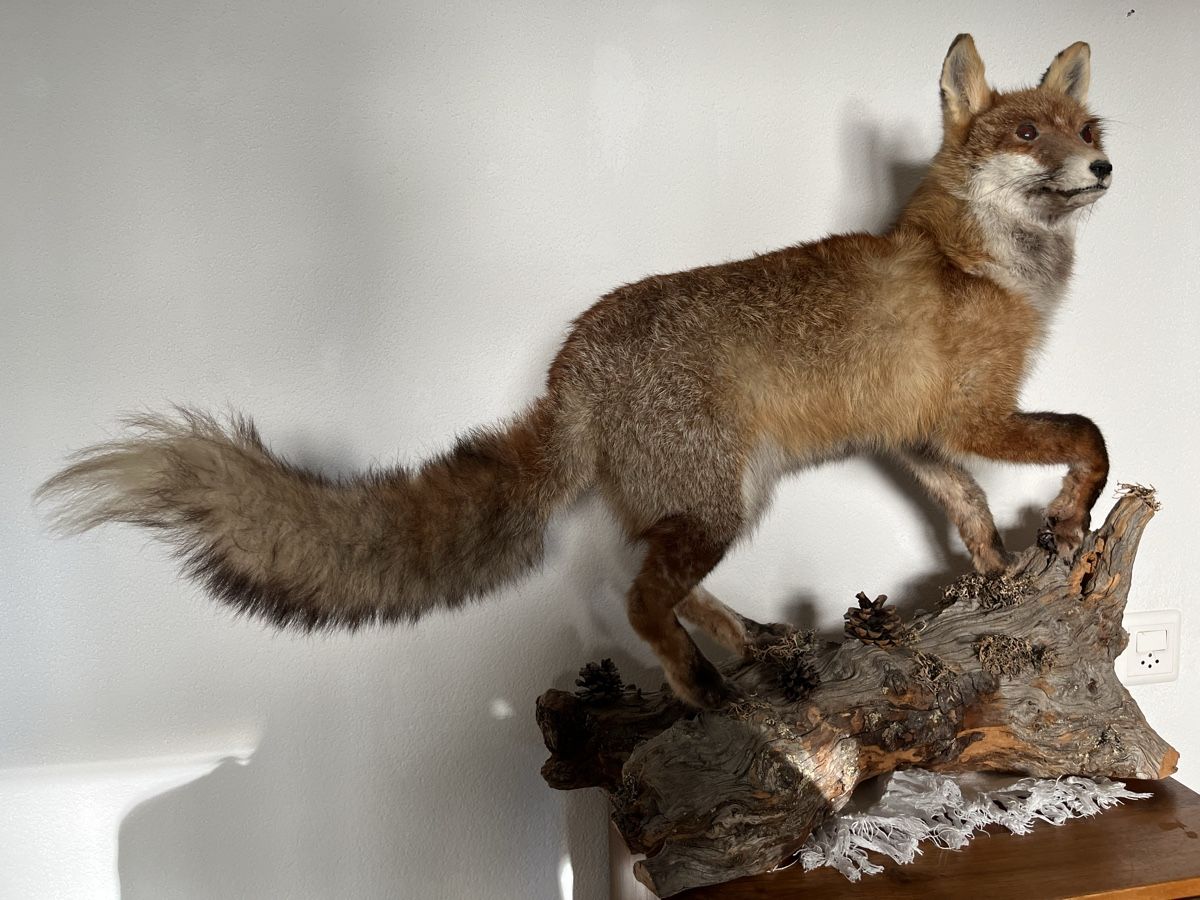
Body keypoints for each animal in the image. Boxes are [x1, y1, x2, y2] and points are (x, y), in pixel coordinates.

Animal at [39, 35, 1112, 709]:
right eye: (1027, 135)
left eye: (1087, 131)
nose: (1105, 168)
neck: (984, 264)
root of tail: (569, 365)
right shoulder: (976, 415)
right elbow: (1089, 438)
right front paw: (1066, 520)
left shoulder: (922, 435)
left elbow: (969, 507)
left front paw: (998, 575)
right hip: (714, 505)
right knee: (636, 598)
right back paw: (696, 683)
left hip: (724, 498)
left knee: (646, 584)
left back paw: (751, 646)